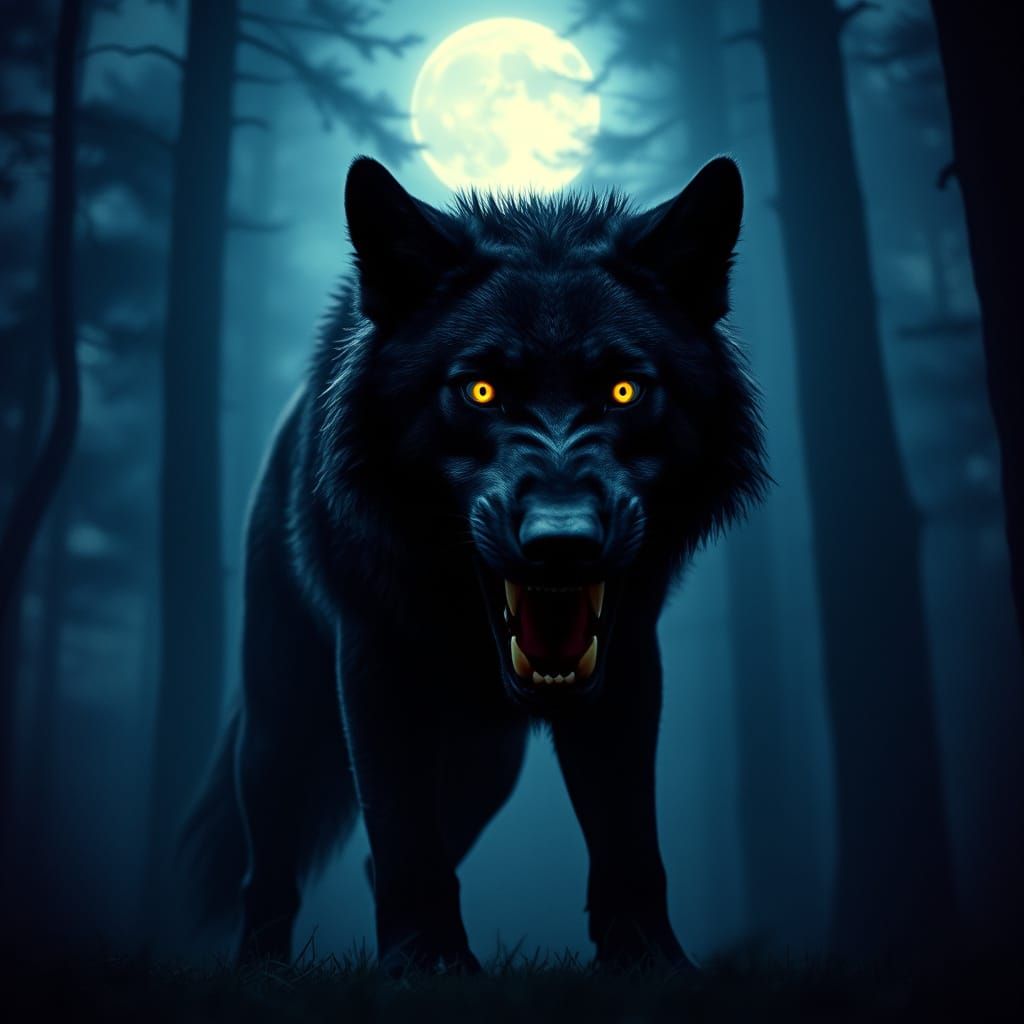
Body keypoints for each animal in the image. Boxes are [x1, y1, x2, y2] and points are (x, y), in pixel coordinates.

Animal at [183, 155, 767, 974]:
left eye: (624, 390)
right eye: (481, 390)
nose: (563, 540)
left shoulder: (626, 670)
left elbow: (628, 836)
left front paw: (648, 963)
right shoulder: (372, 667)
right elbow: (402, 833)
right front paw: (423, 966)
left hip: (489, 765)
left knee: (390, 854)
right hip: (280, 731)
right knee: (270, 867)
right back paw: (261, 969)